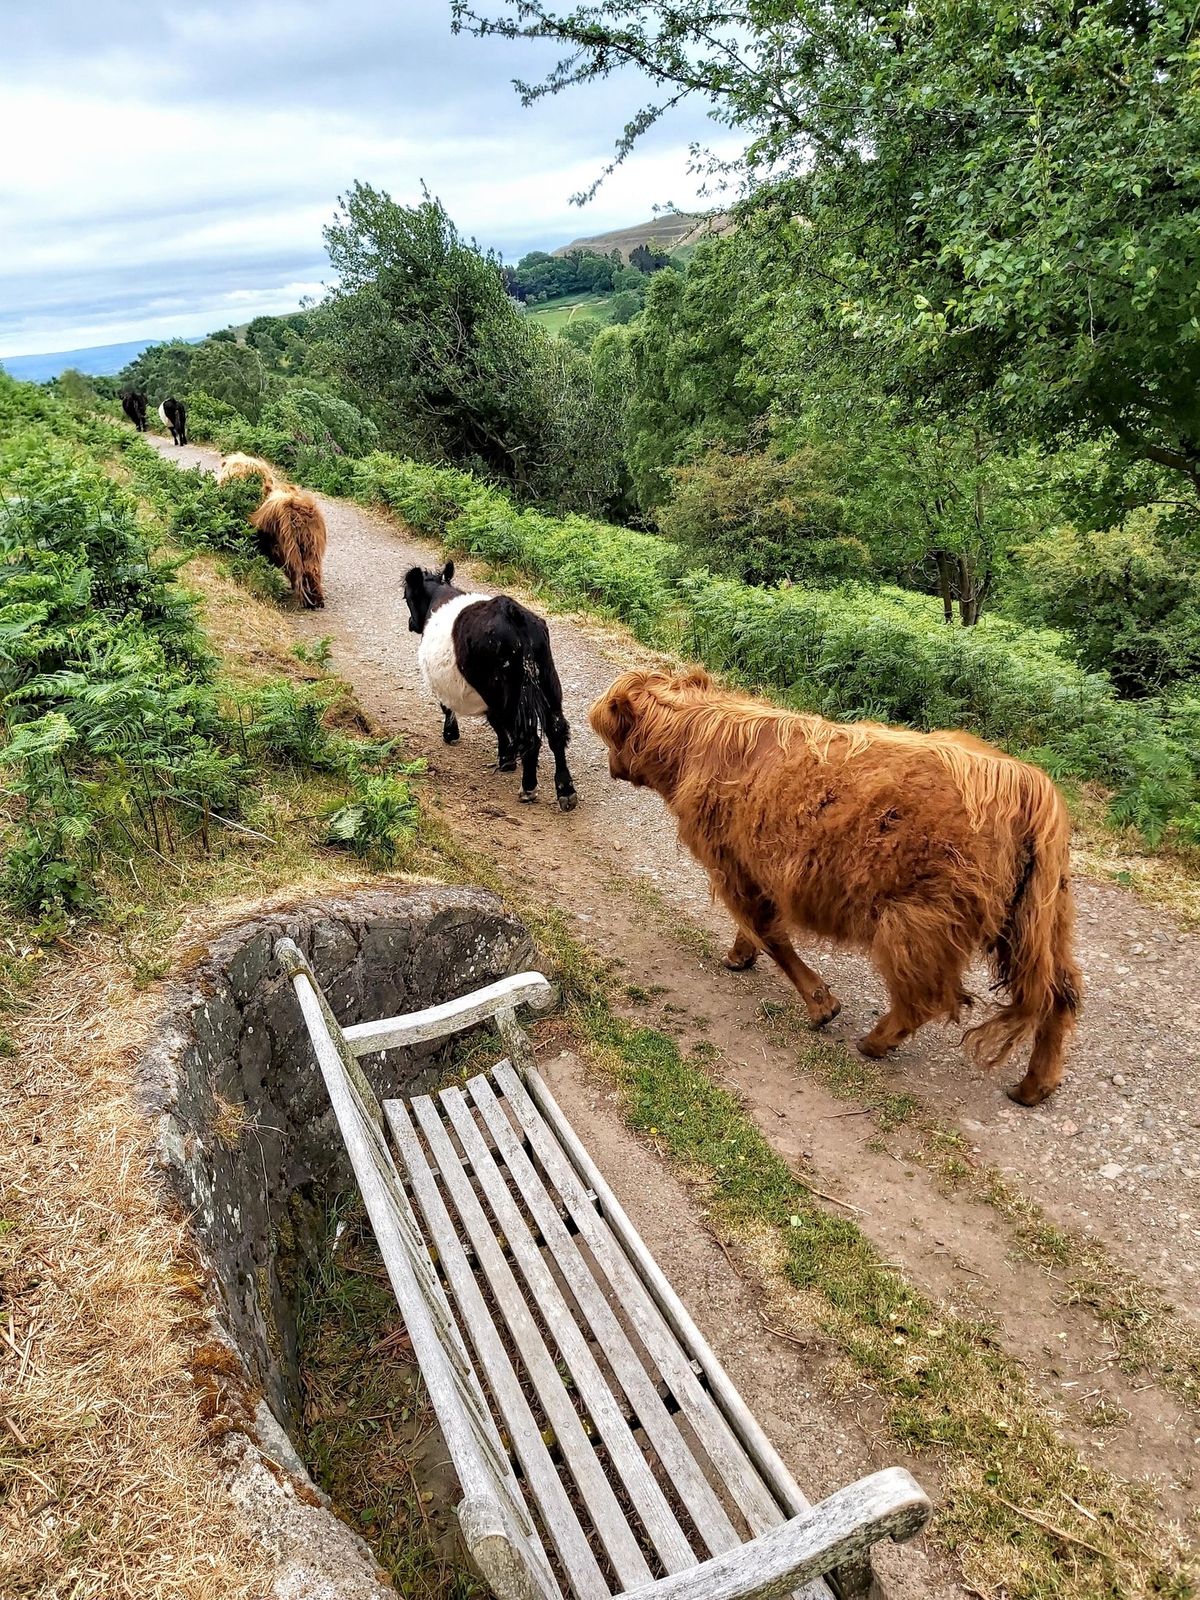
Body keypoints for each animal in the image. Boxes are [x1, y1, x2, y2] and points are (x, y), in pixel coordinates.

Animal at [406, 563, 579, 812]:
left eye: (407, 597)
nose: (411, 624)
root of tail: (512, 613)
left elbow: (450, 708)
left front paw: (453, 735)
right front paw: (508, 758)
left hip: (500, 690)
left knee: (527, 736)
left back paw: (528, 788)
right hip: (547, 681)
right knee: (556, 730)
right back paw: (566, 791)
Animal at [592, 668, 1081, 1107]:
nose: (610, 765)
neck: (693, 740)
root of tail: (1026, 785)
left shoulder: (733, 865)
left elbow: (769, 934)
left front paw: (821, 1005)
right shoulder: (749, 871)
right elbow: (755, 930)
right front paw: (740, 957)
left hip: (917, 919)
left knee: (925, 996)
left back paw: (875, 1042)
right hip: (1040, 921)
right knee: (1059, 995)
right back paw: (1035, 1086)